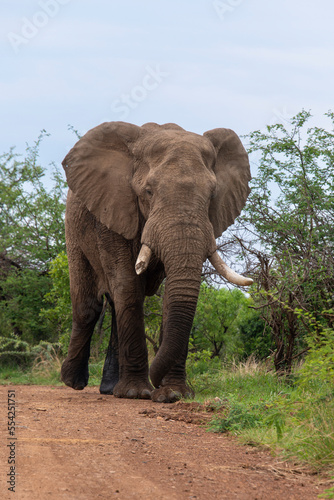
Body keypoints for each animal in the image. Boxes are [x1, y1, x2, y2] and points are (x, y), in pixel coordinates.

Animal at [60, 121, 253, 402]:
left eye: (212, 195)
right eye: (148, 192)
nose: (156, 383)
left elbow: (169, 295)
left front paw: (174, 394)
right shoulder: (113, 210)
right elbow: (128, 284)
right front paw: (136, 393)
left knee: (114, 305)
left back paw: (109, 389)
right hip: (74, 230)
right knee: (89, 307)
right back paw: (73, 382)